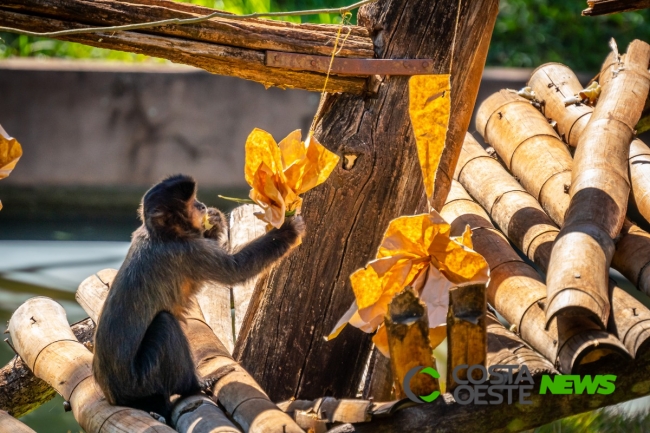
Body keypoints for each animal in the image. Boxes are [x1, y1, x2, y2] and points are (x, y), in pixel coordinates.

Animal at [92, 174, 304, 420]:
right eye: (193, 204)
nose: (202, 205)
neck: (163, 235)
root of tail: (115, 397)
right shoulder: (187, 251)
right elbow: (236, 270)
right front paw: (288, 231)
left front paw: (215, 220)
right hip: (141, 382)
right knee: (165, 324)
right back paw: (194, 385)